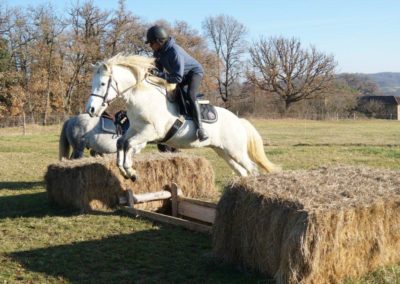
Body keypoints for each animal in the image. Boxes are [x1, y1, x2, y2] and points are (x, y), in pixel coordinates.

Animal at [86, 55, 280, 180]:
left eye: (102, 84)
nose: (91, 109)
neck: (143, 98)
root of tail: (239, 121)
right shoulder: (135, 129)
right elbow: (121, 143)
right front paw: (124, 170)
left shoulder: (151, 132)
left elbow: (128, 144)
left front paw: (130, 172)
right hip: (224, 152)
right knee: (243, 172)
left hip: (236, 151)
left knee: (252, 169)